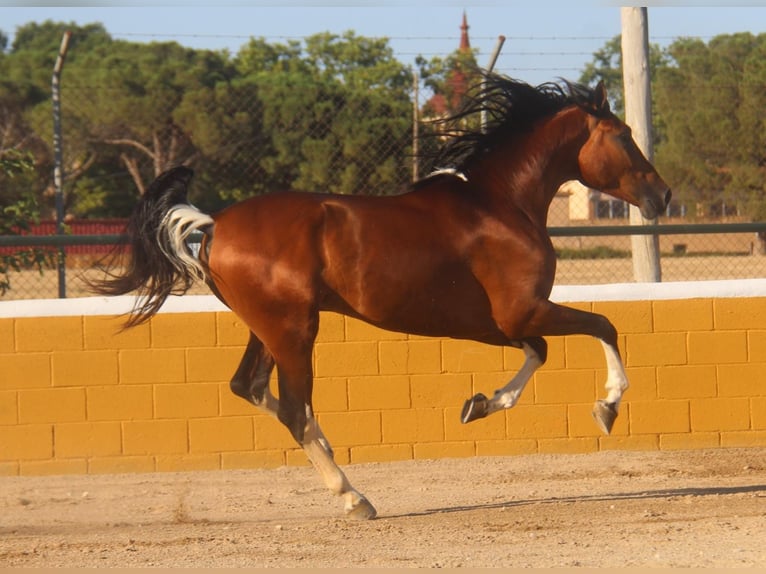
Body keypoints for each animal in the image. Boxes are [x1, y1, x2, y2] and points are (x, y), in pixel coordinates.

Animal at [93, 73, 672, 520]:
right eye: (623, 136)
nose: (662, 194)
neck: (501, 205)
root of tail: (212, 224)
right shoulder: (522, 312)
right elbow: (602, 326)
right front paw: (607, 407)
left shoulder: (502, 324)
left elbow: (541, 353)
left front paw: (479, 404)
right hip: (294, 330)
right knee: (294, 409)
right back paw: (355, 499)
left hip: (268, 329)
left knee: (251, 388)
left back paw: (338, 463)